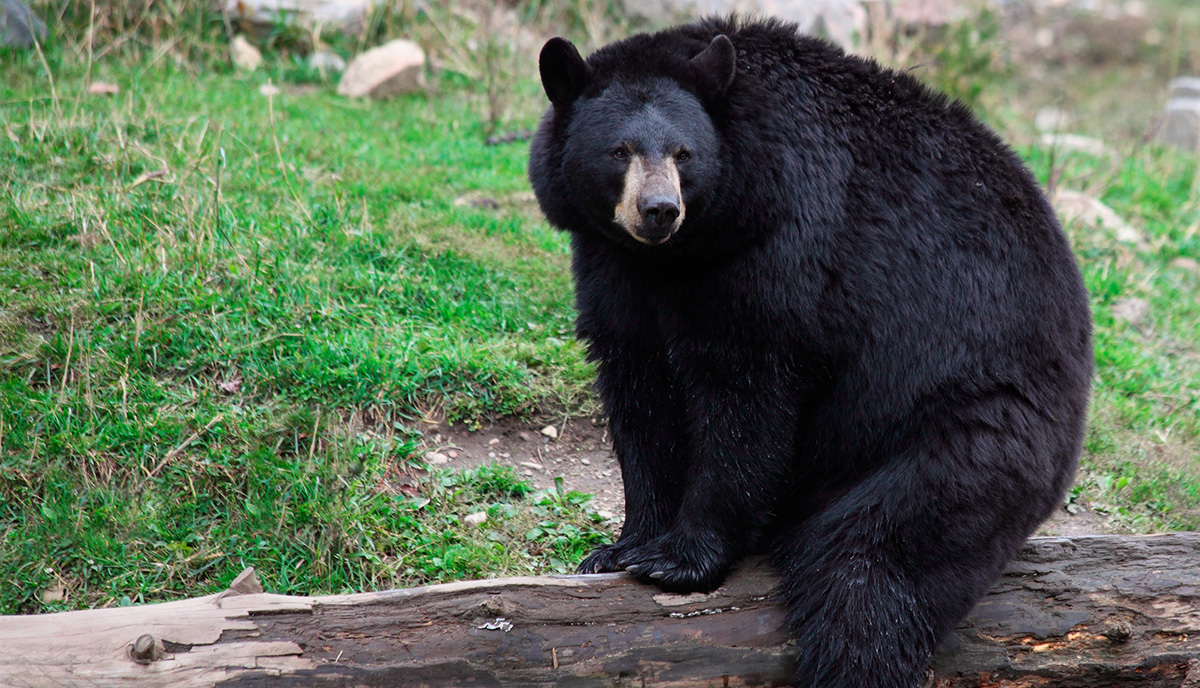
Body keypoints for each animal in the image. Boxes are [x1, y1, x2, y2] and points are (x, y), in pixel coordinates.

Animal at [530, 17, 1094, 686]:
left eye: (683, 153)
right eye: (619, 150)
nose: (659, 210)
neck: (685, 251)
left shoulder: (781, 246)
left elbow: (747, 390)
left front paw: (681, 557)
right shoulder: (614, 265)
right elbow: (639, 390)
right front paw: (622, 547)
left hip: (966, 431)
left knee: (867, 575)